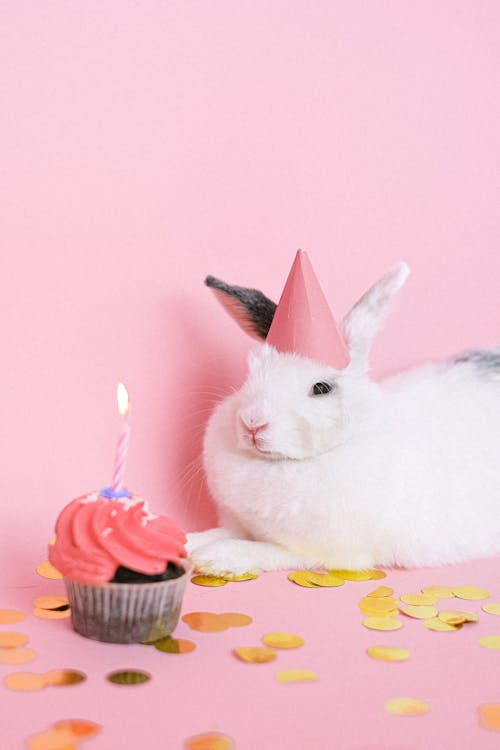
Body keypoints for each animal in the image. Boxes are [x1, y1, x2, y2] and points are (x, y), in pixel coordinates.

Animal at [188, 260, 500, 576]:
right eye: (250, 372)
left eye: (321, 388)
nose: (252, 422)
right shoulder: (239, 525)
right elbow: (219, 533)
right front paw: (189, 542)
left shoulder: (329, 553)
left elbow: (269, 551)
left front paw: (218, 557)